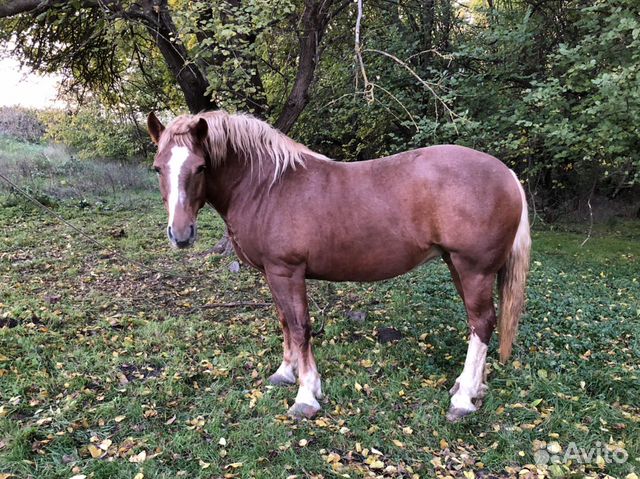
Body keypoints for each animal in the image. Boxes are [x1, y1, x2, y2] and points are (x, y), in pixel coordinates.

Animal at [148, 110, 532, 422]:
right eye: (158, 168)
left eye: (200, 167)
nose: (180, 234)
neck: (267, 186)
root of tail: (507, 174)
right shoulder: (273, 273)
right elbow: (285, 321)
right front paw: (285, 373)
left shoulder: (287, 270)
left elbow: (300, 327)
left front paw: (306, 395)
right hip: (458, 265)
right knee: (481, 322)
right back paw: (471, 387)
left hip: (474, 269)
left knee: (481, 323)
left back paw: (463, 401)